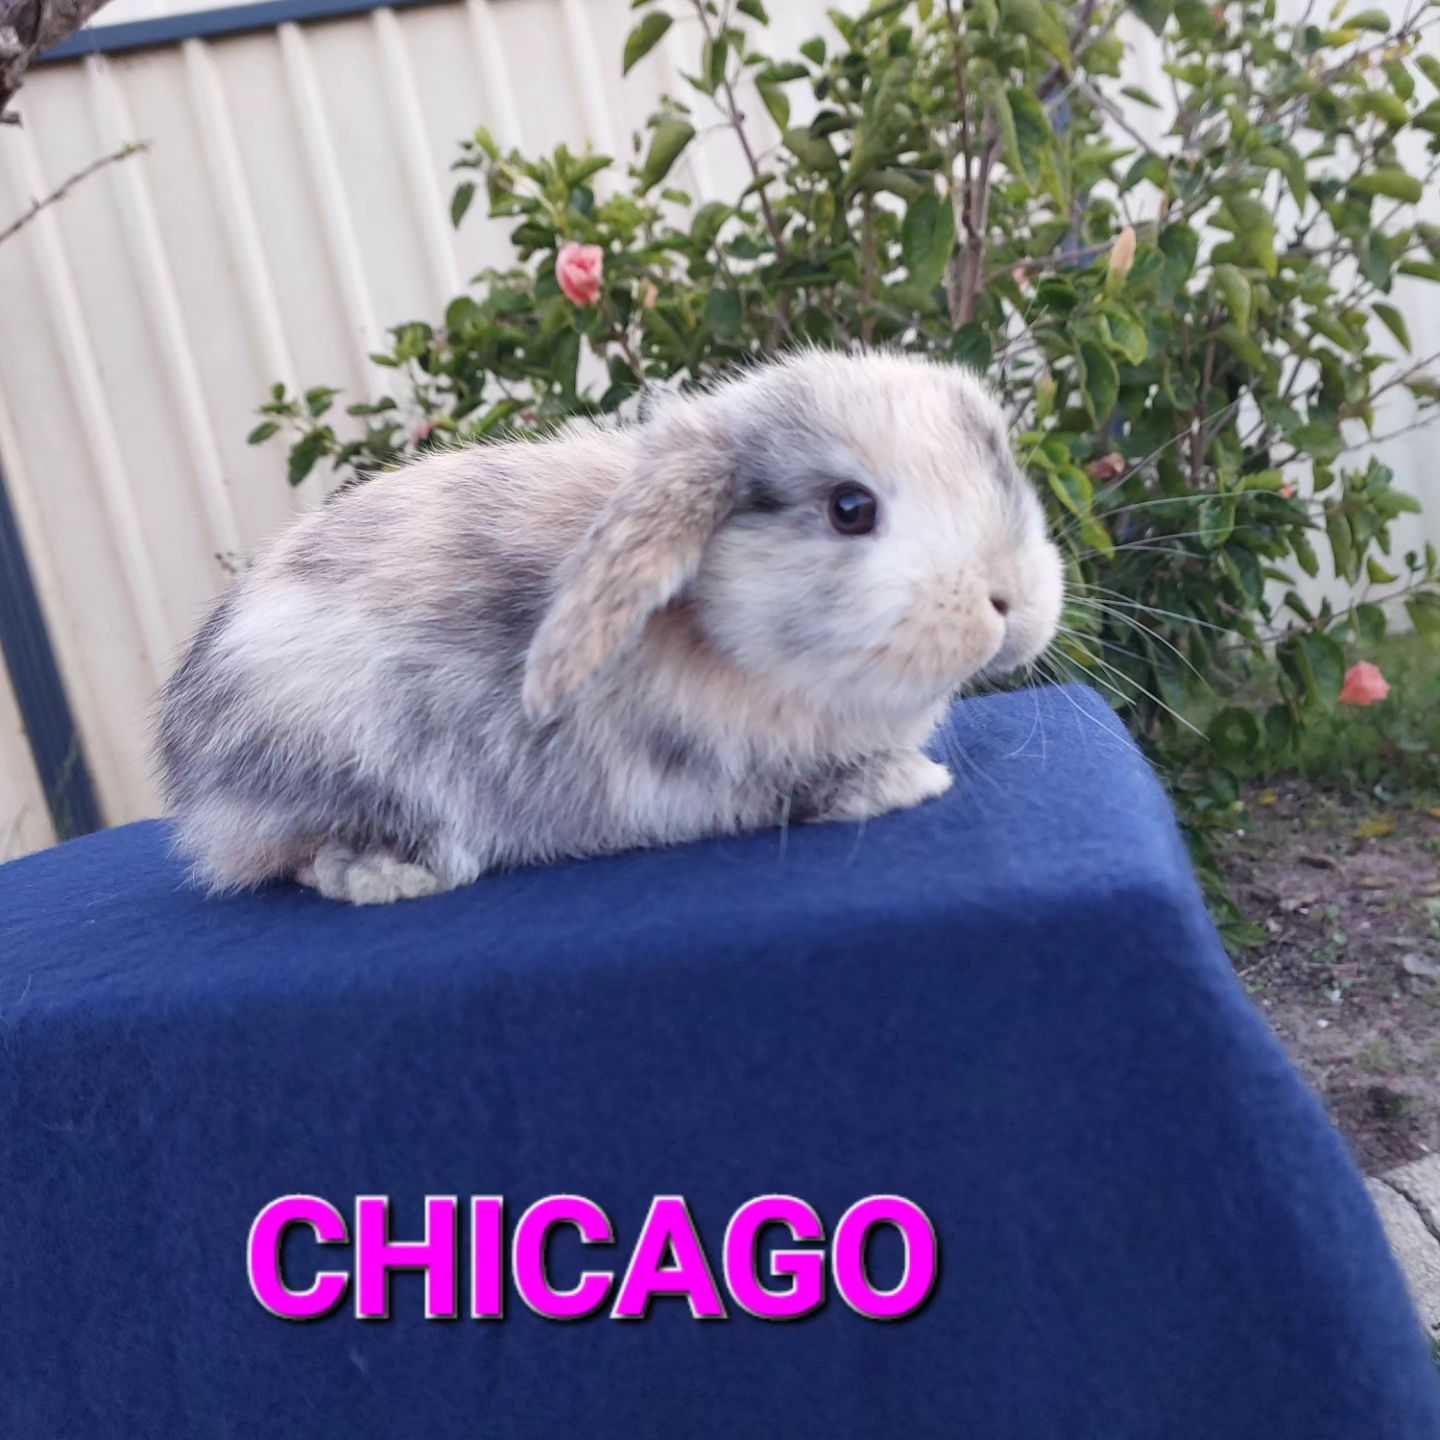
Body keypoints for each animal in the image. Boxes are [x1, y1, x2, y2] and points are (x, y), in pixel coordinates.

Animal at [155, 349, 1064, 904]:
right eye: (850, 509)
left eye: (1001, 471)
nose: (1009, 601)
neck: (717, 637)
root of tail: (188, 782)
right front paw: (906, 783)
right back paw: (395, 873)